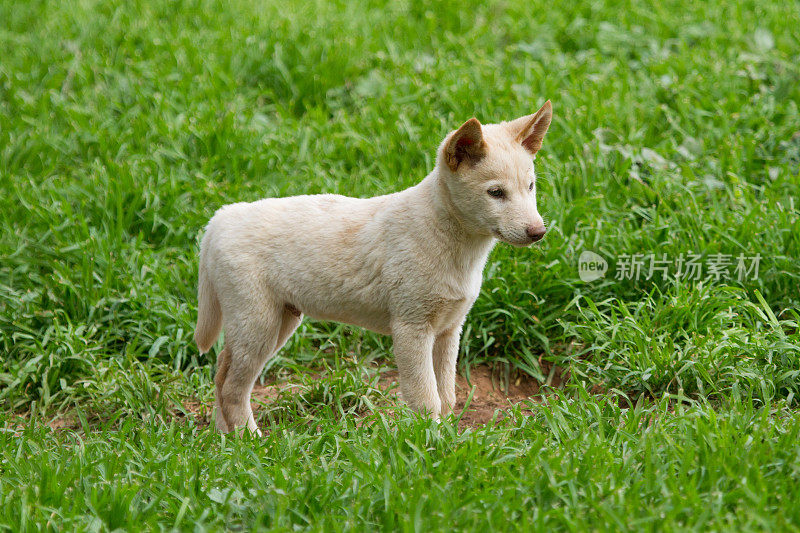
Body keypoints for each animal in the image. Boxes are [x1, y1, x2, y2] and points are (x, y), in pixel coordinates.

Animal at [195, 100, 552, 432]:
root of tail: (218, 219)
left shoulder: (450, 328)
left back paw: (224, 440)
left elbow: (447, 395)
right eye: (496, 193)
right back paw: (250, 440)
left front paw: (450, 436)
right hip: (257, 323)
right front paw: (432, 442)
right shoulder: (411, 327)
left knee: (221, 374)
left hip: (279, 321)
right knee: (231, 387)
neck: (456, 248)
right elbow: (426, 398)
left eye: (531, 186)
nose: (538, 232)